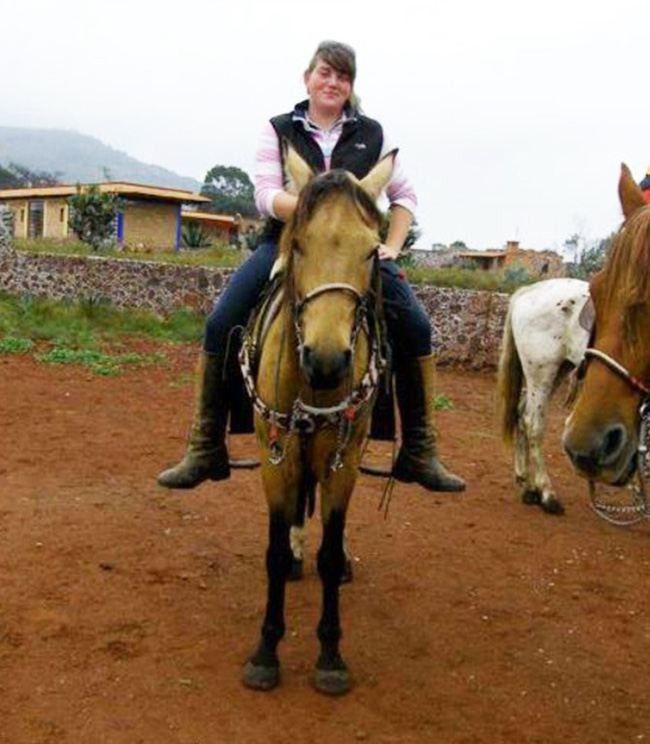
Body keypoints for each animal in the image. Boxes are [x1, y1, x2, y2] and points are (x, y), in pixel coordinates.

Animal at [235, 147, 392, 696]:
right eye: (298, 243)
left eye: (372, 251)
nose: (326, 360)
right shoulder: (274, 455)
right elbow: (274, 553)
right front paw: (265, 652)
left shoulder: (342, 460)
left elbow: (327, 549)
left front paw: (329, 655)